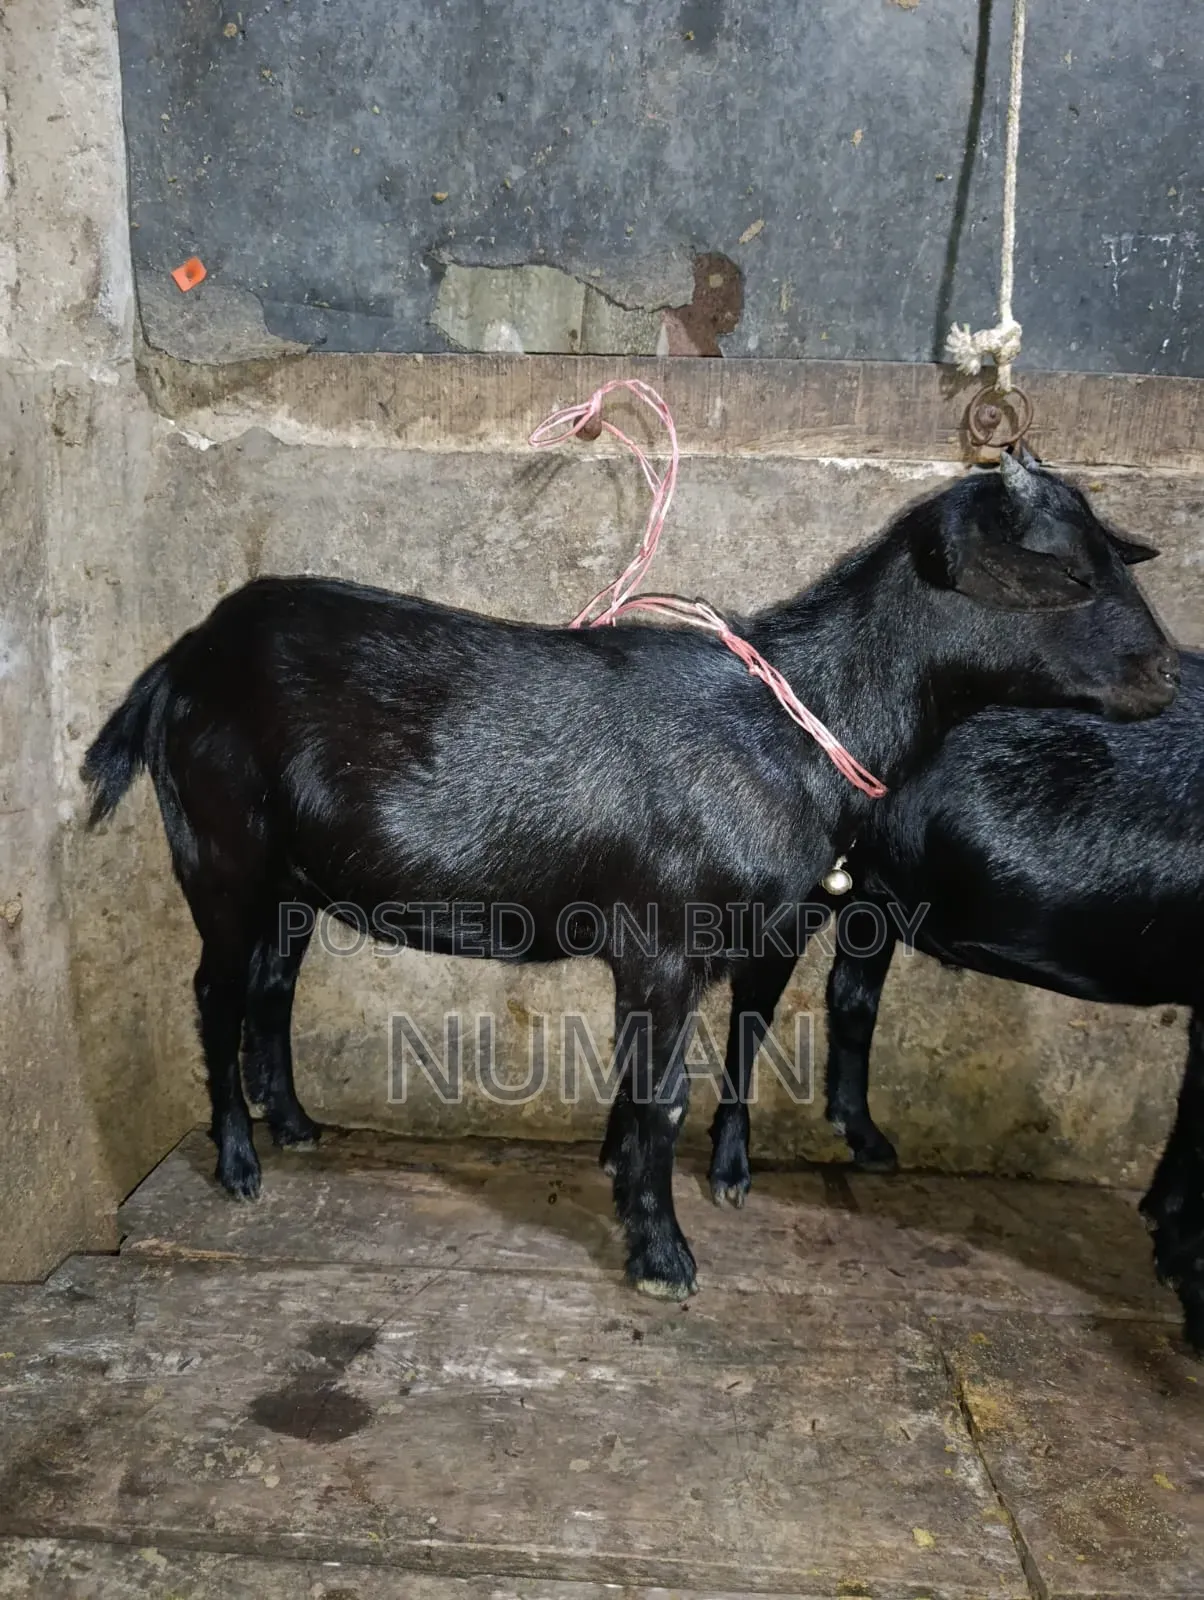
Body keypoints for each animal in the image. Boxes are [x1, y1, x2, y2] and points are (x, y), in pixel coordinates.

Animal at [82, 450, 1177, 1300]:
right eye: (1066, 574)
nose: (1167, 674)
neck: (796, 721)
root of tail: (176, 667)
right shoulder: (662, 940)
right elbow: (664, 1097)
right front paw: (662, 1254)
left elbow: (653, 1083)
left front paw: (625, 1185)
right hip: (221, 852)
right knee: (215, 992)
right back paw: (237, 1161)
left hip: (295, 880)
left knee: (271, 985)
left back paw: (299, 1125)